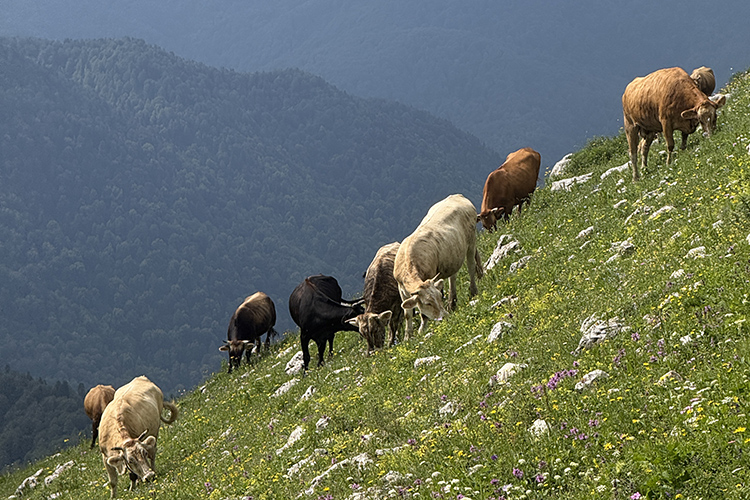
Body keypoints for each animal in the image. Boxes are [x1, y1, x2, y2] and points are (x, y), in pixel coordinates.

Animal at [394, 194, 484, 340]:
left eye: (439, 297)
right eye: (428, 303)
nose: (445, 317)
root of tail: (457, 195)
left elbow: (423, 315)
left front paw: (421, 330)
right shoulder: (401, 290)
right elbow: (407, 313)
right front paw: (408, 336)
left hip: (471, 241)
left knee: (471, 266)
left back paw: (473, 292)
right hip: (453, 255)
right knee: (453, 277)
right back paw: (452, 302)